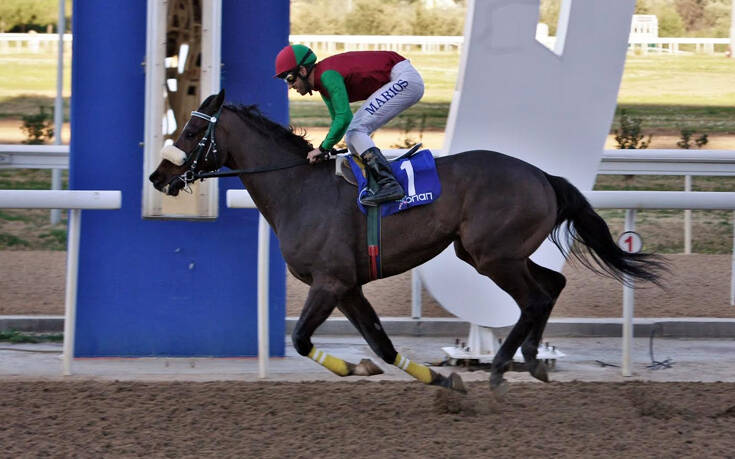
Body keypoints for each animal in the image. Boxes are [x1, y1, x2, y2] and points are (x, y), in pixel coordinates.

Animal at [150, 89, 666, 394]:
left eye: (191, 130)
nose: (157, 177)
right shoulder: (348, 286)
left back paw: (502, 365)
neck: (299, 188)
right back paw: (533, 360)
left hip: (494, 255)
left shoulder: (329, 281)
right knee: (552, 286)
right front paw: (432, 376)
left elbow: (299, 339)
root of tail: (542, 176)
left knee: (535, 297)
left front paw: (357, 369)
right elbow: (380, 343)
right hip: (492, 252)